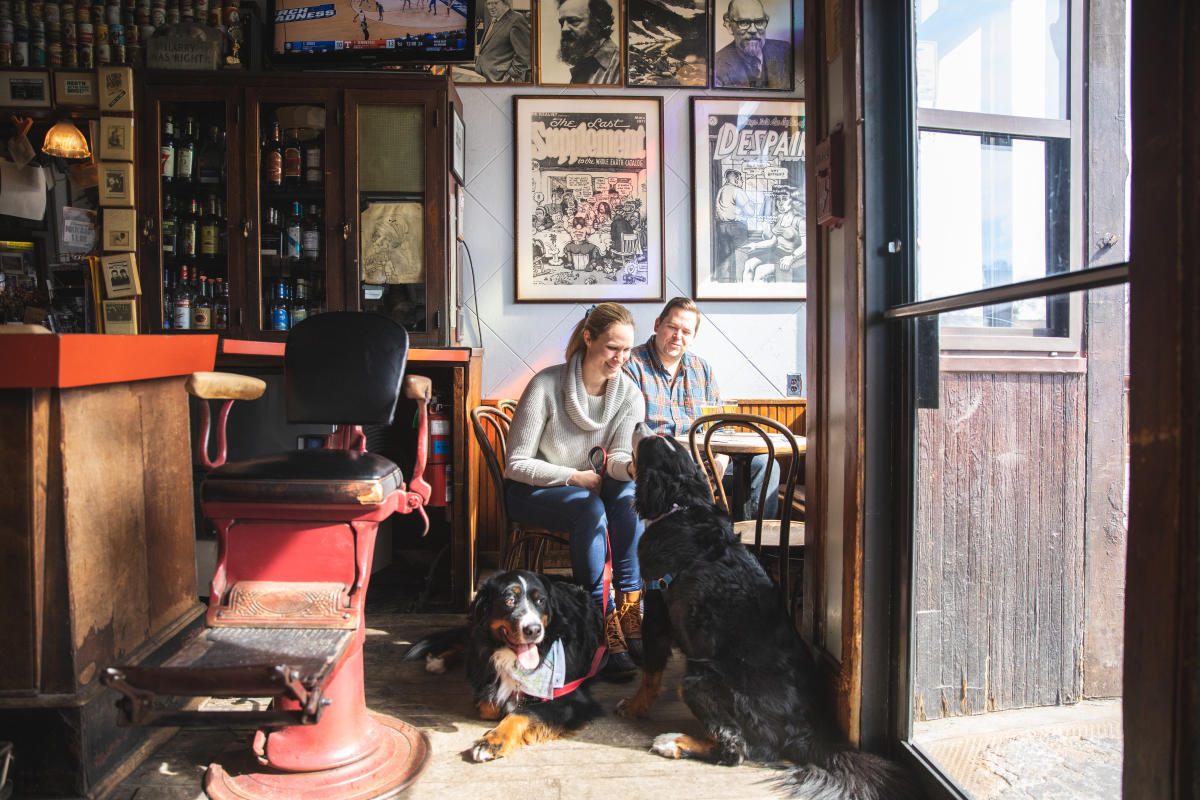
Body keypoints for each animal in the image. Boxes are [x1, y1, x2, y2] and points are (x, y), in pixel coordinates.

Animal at [405, 568, 609, 762]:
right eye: (510, 600)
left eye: (540, 601)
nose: (534, 630)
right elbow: (488, 703)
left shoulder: (572, 697)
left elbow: (523, 712)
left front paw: (492, 741)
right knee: (468, 642)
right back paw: (439, 661)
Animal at [619, 424, 916, 800]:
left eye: (648, 444)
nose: (643, 424)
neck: (679, 506)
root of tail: (807, 733)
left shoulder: (657, 609)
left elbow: (651, 673)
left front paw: (634, 707)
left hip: (697, 678)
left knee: (735, 750)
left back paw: (672, 742)